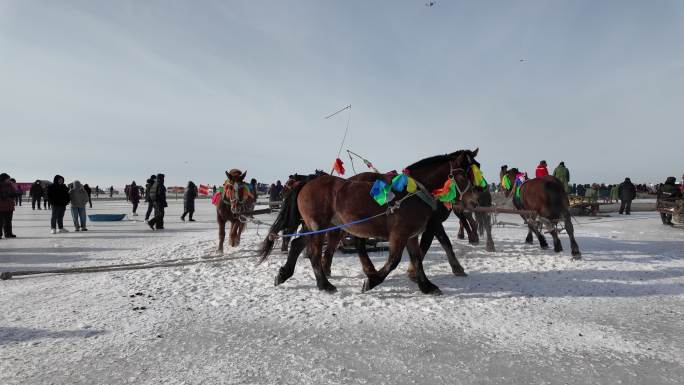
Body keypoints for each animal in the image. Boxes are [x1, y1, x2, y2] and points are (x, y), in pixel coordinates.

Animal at [260, 148, 480, 292]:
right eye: (464, 174)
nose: (475, 201)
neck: (411, 193)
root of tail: (308, 182)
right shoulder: (399, 234)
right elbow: (394, 261)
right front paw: (372, 281)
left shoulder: (410, 235)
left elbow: (417, 259)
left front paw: (426, 285)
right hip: (319, 227)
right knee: (314, 252)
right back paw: (325, 284)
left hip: (315, 226)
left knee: (298, 245)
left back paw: (284, 274)